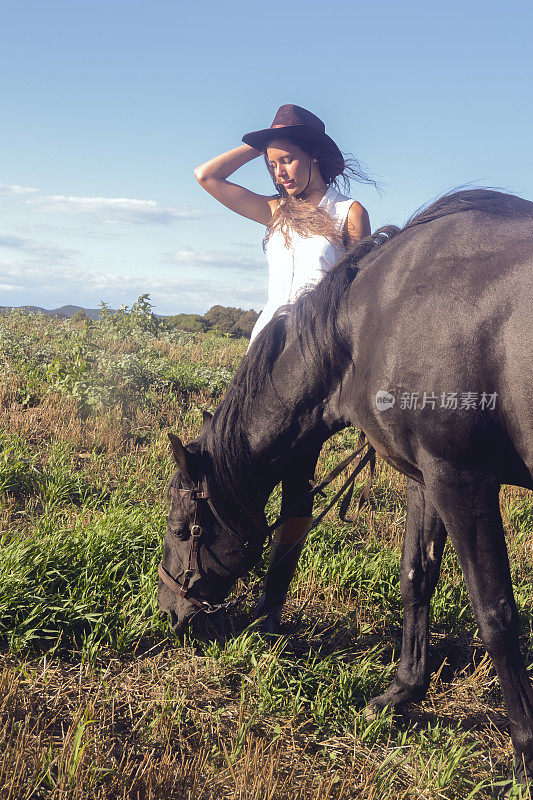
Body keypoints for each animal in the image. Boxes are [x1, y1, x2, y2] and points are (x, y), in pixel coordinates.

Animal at [158, 191, 532, 784]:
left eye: (183, 528)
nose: (168, 609)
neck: (370, 324)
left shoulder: (462, 481)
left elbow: (495, 612)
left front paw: (523, 750)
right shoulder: (426, 477)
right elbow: (416, 579)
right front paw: (402, 693)